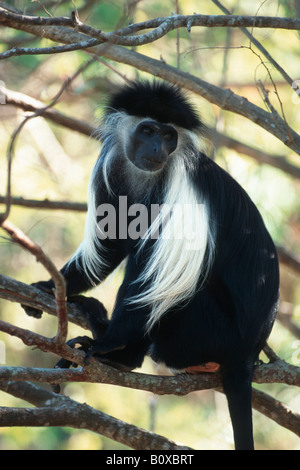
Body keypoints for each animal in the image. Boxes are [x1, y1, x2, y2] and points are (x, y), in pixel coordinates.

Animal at [23, 80, 278, 448]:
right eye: (148, 131)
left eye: (169, 136)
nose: (158, 148)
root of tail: (246, 355)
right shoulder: (111, 166)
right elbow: (110, 243)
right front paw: (49, 287)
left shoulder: (182, 189)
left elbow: (152, 278)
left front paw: (107, 345)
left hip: (209, 329)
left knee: (158, 276)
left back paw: (118, 353)